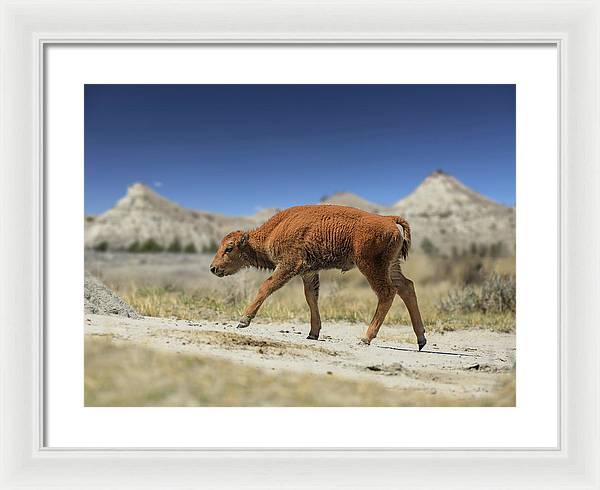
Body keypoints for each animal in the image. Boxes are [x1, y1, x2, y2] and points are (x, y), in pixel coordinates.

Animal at [211, 203, 426, 348]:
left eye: (229, 248)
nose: (213, 268)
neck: (273, 231)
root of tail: (388, 219)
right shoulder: (309, 272)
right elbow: (311, 298)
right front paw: (313, 333)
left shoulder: (289, 265)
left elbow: (267, 286)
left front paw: (243, 320)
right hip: (392, 266)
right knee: (406, 287)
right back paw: (421, 339)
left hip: (371, 266)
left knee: (387, 292)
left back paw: (366, 338)